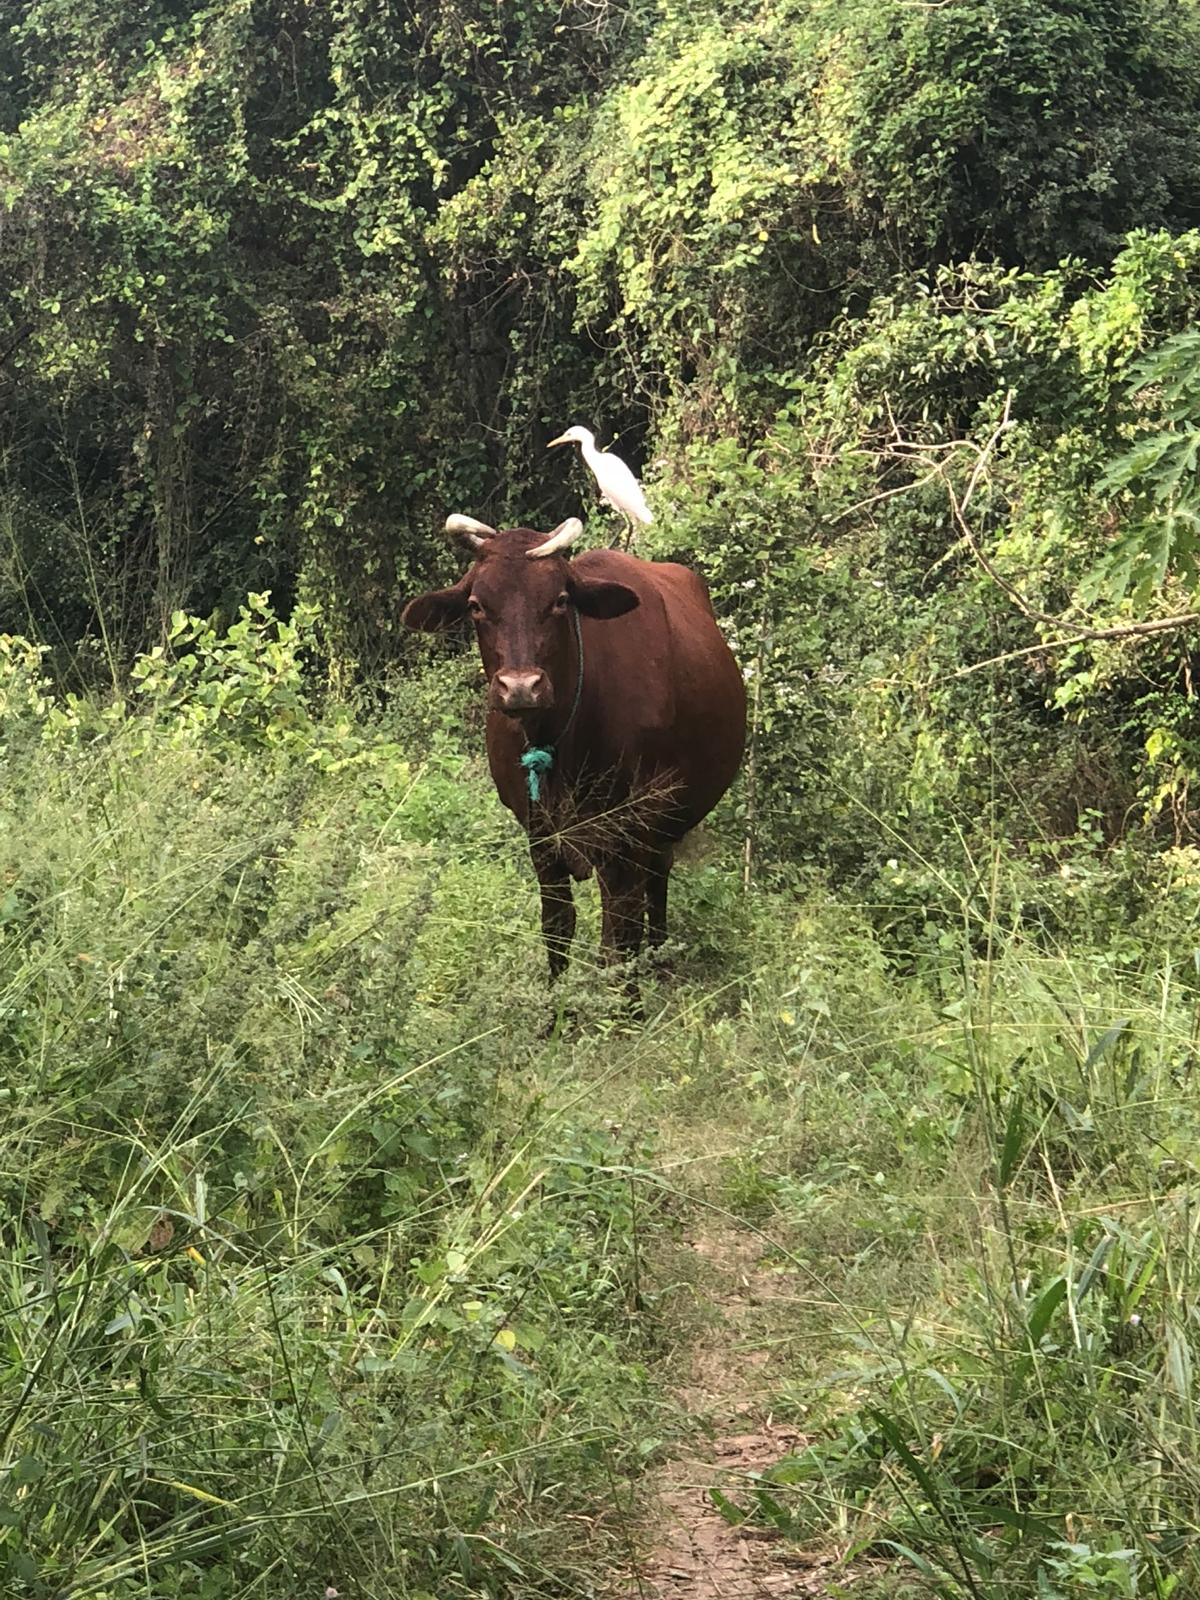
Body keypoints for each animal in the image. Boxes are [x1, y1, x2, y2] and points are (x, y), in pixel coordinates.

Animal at [402, 515, 746, 1000]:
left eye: (561, 600)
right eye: (475, 605)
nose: (521, 687)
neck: (561, 743)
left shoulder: (629, 828)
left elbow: (621, 936)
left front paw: (628, 1010)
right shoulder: (539, 835)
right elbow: (558, 927)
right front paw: (556, 1008)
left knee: (655, 886)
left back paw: (658, 966)